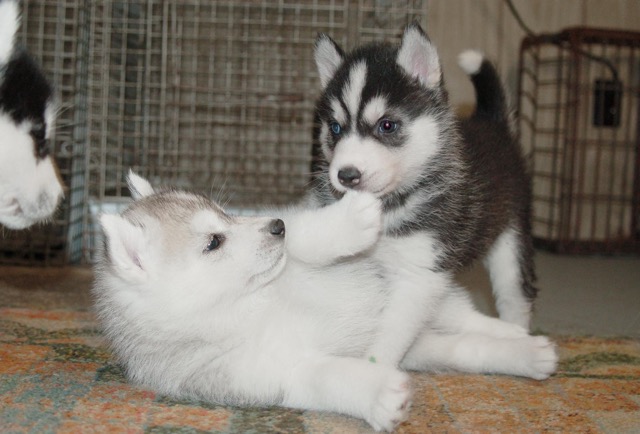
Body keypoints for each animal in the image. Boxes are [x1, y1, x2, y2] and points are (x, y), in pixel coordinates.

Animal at [93, 172, 556, 431]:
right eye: (214, 242)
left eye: (226, 214)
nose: (275, 226)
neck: (251, 305)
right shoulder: (275, 374)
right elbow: (328, 377)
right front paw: (378, 395)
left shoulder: (302, 258)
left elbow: (306, 239)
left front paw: (347, 221)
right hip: (417, 344)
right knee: (463, 348)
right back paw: (525, 354)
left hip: (415, 296)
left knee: (471, 320)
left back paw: (517, 335)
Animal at [308, 23, 537, 365]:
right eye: (335, 128)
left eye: (387, 125)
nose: (346, 175)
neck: (388, 208)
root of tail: (492, 124)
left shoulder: (419, 275)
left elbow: (390, 334)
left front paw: (373, 368)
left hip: (510, 240)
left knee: (515, 296)